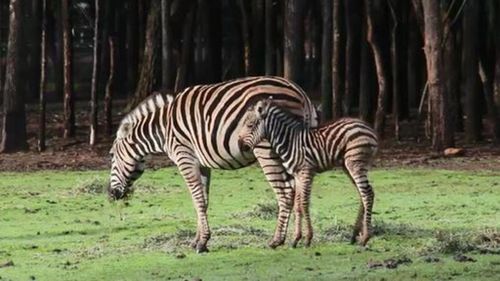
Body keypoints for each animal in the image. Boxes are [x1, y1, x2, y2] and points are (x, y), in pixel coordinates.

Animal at [107, 76, 318, 252]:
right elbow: (202, 201)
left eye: (111, 156)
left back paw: (277, 240)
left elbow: (197, 199)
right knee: (298, 190)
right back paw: (297, 238)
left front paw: (202, 243)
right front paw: (197, 240)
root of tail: (299, 91)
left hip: (268, 148)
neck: (163, 128)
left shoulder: (185, 158)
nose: (110, 194)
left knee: (285, 191)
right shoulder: (202, 164)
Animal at [236, 97, 376, 246]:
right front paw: (296, 239)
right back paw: (354, 236)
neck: (290, 142)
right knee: (362, 193)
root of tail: (368, 128)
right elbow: (297, 205)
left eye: (250, 125)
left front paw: (308, 238)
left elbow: (304, 203)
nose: (239, 145)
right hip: (348, 165)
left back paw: (365, 238)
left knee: (367, 193)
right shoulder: (297, 174)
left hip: (355, 163)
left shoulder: (306, 171)